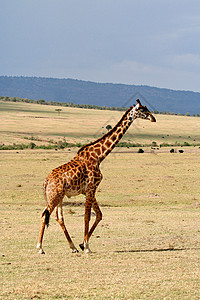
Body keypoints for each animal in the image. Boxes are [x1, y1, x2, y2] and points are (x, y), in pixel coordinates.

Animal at [37, 98, 156, 253]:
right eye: (142, 109)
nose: (153, 118)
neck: (99, 156)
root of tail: (46, 181)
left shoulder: (90, 190)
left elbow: (99, 214)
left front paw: (82, 244)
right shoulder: (91, 188)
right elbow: (87, 217)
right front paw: (87, 246)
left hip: (59, 196)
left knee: (59, 217)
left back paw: (72, 247)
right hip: (54, 196)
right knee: (44, 215)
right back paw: (40, 248)